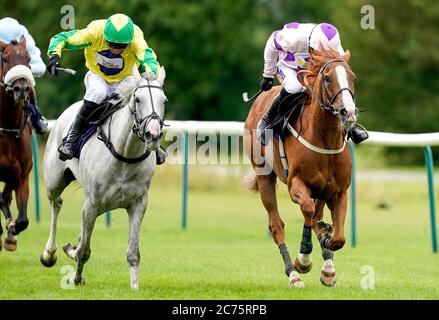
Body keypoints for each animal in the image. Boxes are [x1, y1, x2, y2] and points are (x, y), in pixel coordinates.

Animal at [40, 66, 167, 288]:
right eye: (138, 99)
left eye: (164, 101)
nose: (153, 135)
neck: (125, 156)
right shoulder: (91, 204)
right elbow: (84, 251)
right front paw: (76, 277)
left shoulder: (138, 204)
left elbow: (133, 253)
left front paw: (135, 287)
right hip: (54, 181)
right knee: (56, 203)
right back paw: (49, 253)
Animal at [244, 48, 358, 288]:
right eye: (327, 78)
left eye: (352, 77)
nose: (348, 113)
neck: (325, 140)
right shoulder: (296, 184)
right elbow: (307, 210)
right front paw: (303, 259)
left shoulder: (339, 191)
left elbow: (338, 238)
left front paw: (327, 253)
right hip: (264, 176)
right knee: (277, 225)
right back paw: (293, 274)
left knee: (317, 216)